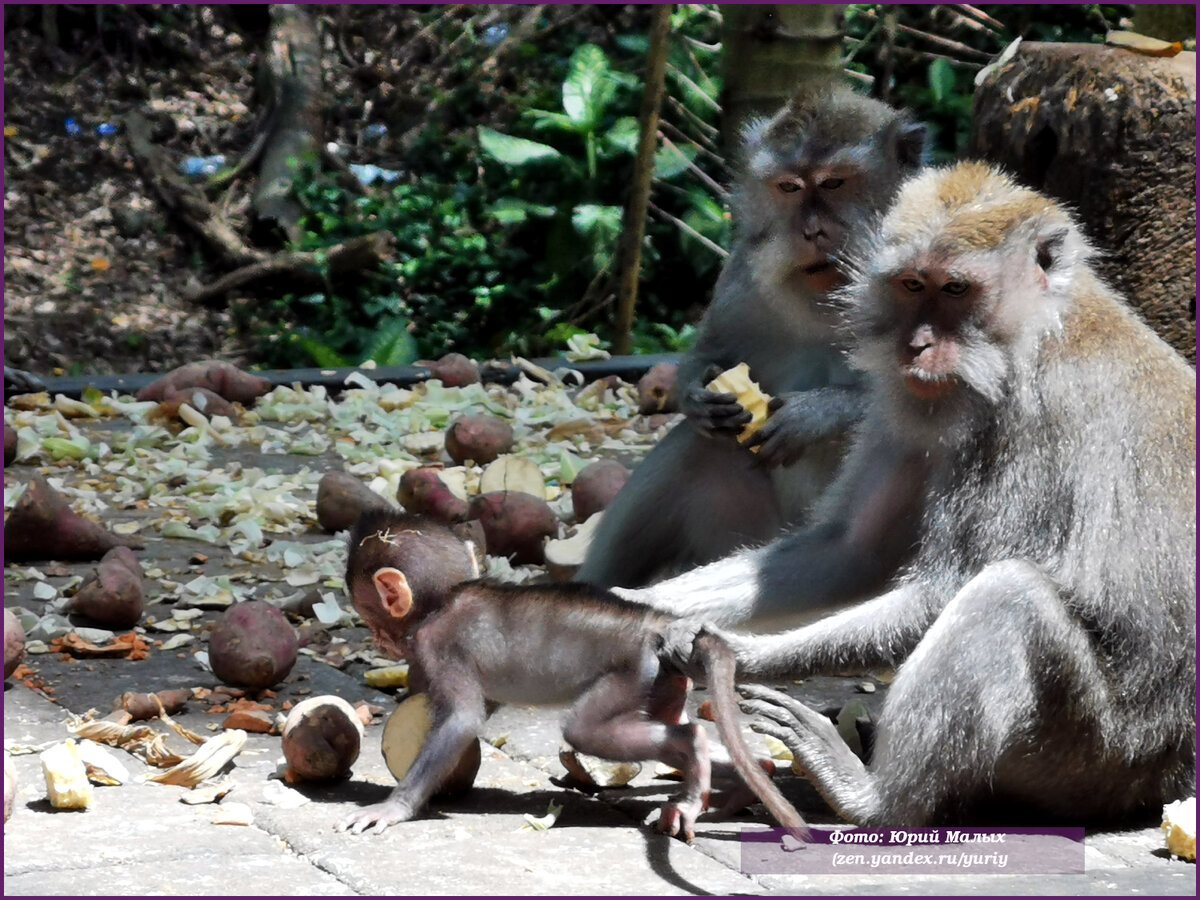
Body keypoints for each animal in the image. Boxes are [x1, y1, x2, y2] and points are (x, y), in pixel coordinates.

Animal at [333, 511, 811, 844]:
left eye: (369, 617)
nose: (379, 642)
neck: (446, 599)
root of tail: (657, 624)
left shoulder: (437, 645)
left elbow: (463, 719)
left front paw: (393, 808)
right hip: (663, 680)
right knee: (668, 721)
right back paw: (749, 779)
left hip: (631, 670)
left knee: (590, 730)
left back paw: (695, 755)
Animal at [576, 84, 931, 592]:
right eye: (788, 188)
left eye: (833, 184)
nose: (811, 231)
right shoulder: (741, 275)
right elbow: (712, 349)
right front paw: (696, 390)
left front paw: (814, 414)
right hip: (740, 533)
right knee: (697, 448)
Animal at [633, 164, 1195, 830]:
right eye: (910, 285)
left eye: (955, 289)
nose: (918, 347)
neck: (1029, 338)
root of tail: (1170, 777)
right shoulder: (904, 404)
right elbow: (847, 550)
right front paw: (629, 603)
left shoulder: (1036, 419)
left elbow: (941, 591)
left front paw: (739, 654)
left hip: (1097, 756)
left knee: (1010, 596)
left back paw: (874, 800)